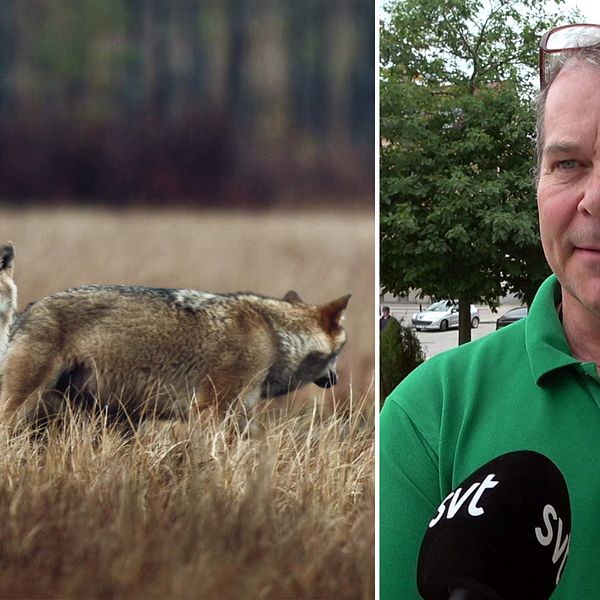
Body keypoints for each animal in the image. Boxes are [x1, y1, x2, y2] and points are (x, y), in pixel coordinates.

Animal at [0, 241, 352, 428]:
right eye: (341, 353)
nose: (336, 380)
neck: (275, 337)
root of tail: (26, 311)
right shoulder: (211, 412)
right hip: (25, 404)